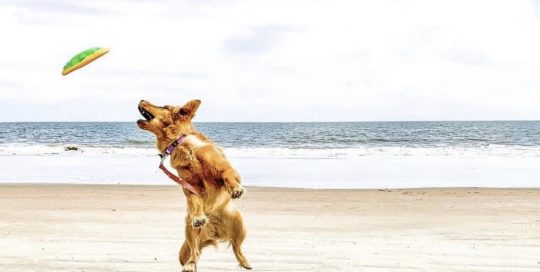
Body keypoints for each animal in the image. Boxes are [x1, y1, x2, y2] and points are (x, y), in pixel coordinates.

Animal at [137, 100, 251, 272]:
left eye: (164, 107)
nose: (142, 100)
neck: (181, 143)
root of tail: (213, 230)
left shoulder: (224, 168)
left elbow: (228, 176)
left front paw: (236, 189)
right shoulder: (190, 186)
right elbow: (195, 202)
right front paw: (198, 217)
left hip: (239, 225)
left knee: (236, 247)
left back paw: (245, 262)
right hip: (189, 229)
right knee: (194, 251)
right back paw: (191, 264)